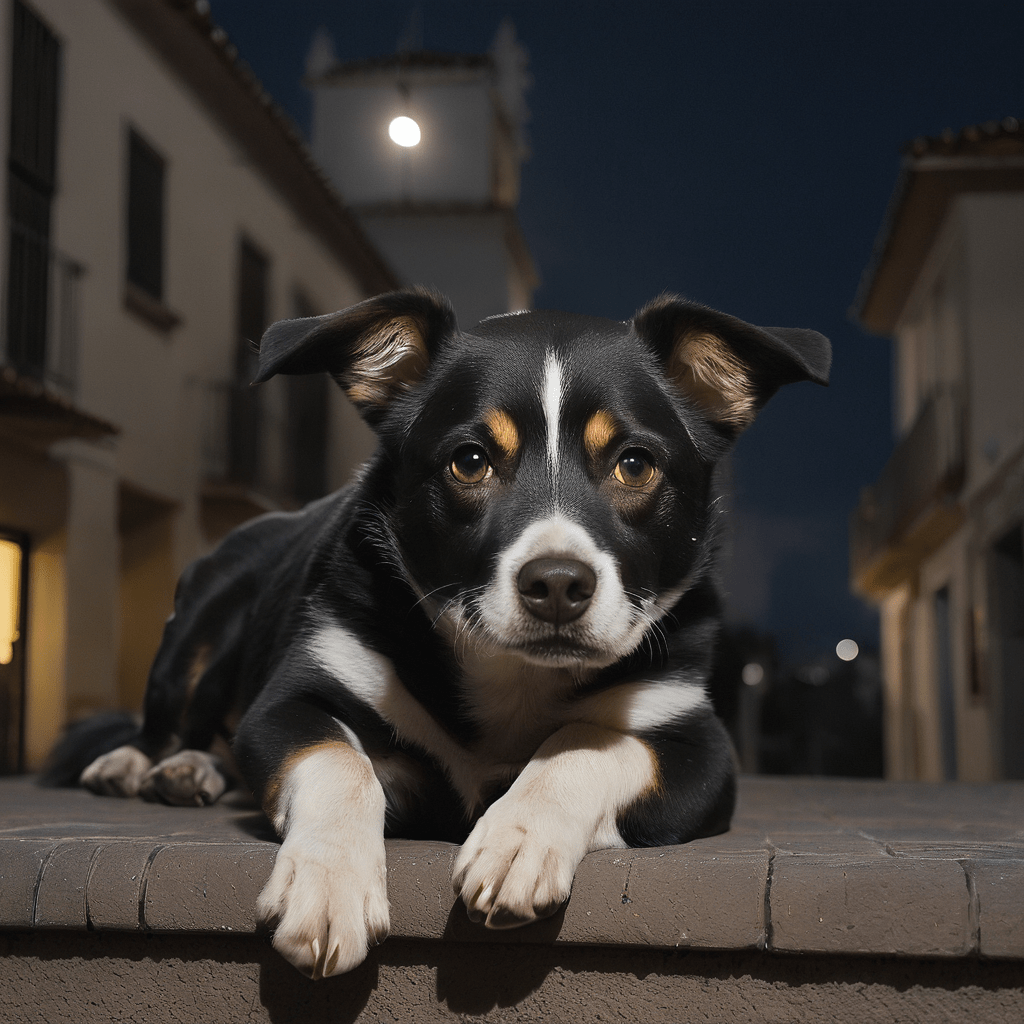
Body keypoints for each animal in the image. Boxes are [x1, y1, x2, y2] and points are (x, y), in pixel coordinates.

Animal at [51, 288, 827, 974]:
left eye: (634, 463)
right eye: (470, 461)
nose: (557, 585)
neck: (509, 675)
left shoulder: (701, 752)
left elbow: (588, 742)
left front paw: (519, 836)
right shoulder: (293, 700)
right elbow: (340, 761)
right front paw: (328, 885)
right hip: (202, 618)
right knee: (169, 720)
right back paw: (146, 763)